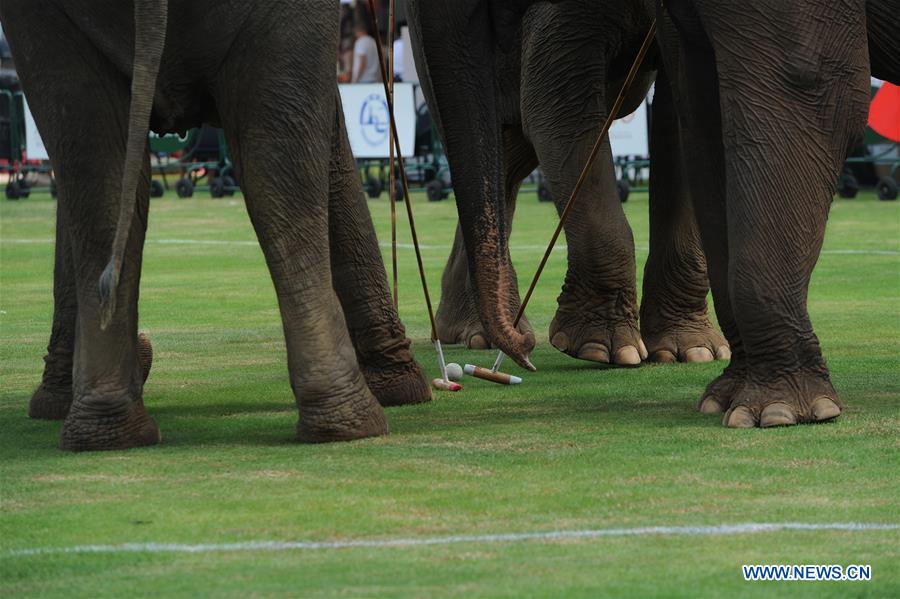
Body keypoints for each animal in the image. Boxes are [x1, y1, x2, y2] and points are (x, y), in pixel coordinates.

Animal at [413, 0, 730, 367]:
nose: (525, 350)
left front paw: (693, 352)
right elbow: (558, 105)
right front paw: (604, 349)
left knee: (504, 156)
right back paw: (484, 332)